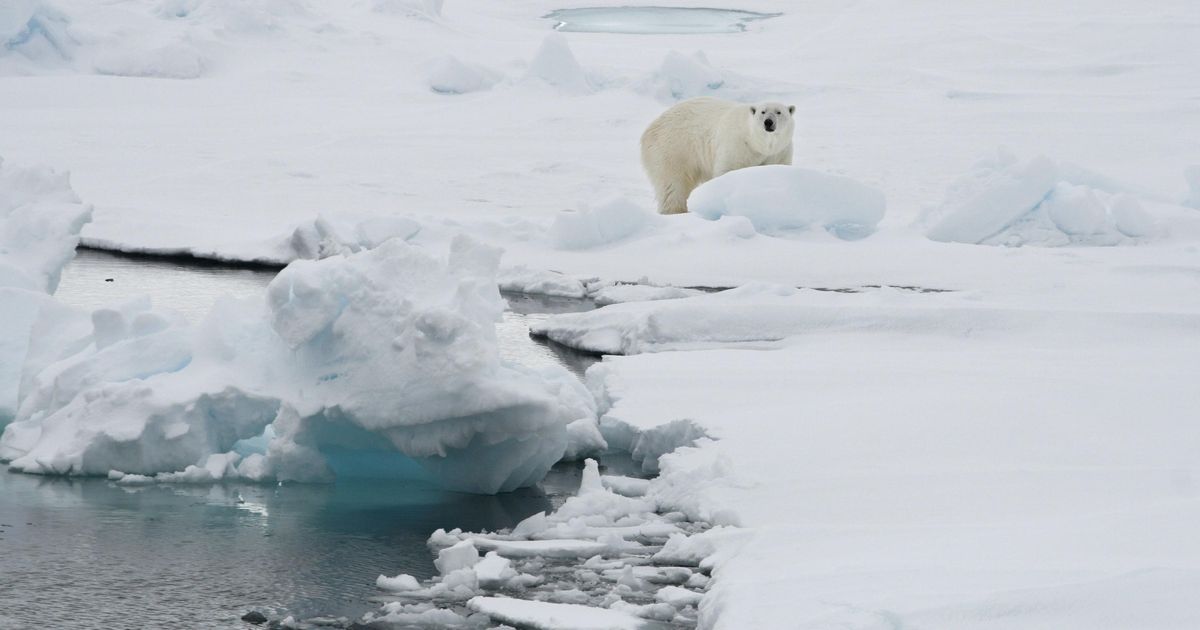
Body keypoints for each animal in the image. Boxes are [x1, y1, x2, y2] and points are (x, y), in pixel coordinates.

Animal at [638, 97, 796, 214]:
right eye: (762, 112)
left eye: (779, 112)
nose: (768, 122)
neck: (755, 142)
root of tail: (650, 128)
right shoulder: (737, 145)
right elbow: (727, 170)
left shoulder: (780, 152)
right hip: (673, 148)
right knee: (672, 183)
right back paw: (676, 210)